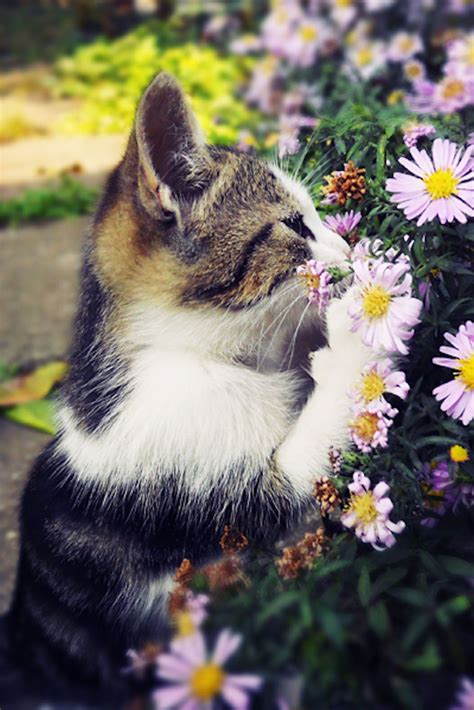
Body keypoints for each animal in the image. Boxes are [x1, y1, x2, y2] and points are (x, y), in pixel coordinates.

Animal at [3, 72, 372, 708]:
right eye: (294, 226)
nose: (349, 251)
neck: (197, 354)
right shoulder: (236, 508)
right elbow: (309, 458)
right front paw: (357, 329)